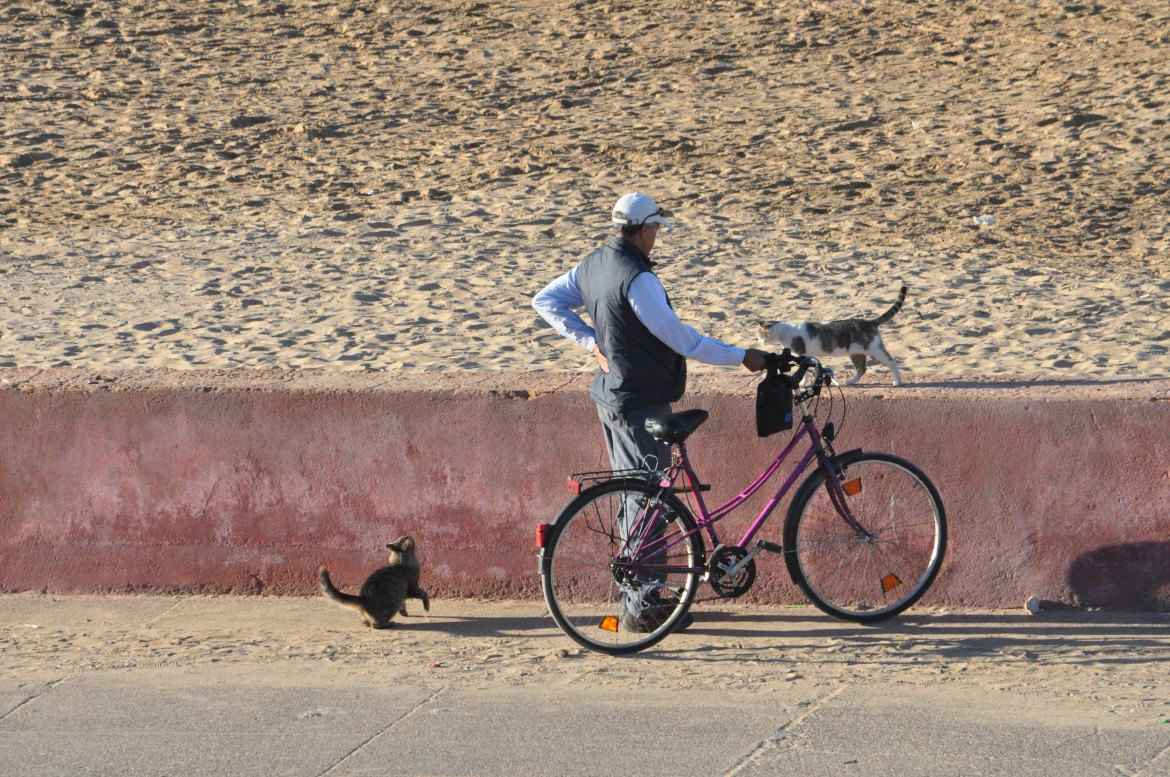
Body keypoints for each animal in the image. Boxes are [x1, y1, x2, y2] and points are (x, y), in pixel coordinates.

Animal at [753, 285, 907, 386]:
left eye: (761, 335)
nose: (759, 342)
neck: (784, 332)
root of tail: (869, 321)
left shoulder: (803, 355)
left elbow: (804, 373)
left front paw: (802, 384)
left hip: (874, 350)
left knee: (891, 361)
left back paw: (898, 381)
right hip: (856, 353)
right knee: (862, 369)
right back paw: (851, 381)